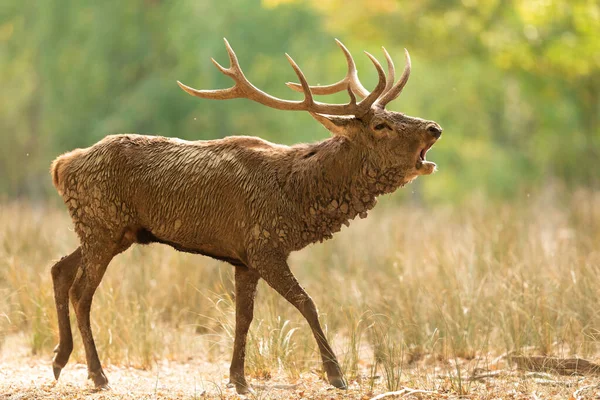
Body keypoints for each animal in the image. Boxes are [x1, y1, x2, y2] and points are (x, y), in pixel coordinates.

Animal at [50, 38, 440, 394]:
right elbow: (307, 303)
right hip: (101, 225)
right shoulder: (264, 246)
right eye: (380, 125)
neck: (297, 199)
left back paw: (59, 359)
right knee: (82, 292)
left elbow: (243, 317)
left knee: (59, 269)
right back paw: (98, 375)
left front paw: (238, 379)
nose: (434, 128)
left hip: (110, 231)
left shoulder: (244, 259)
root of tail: (61, 165)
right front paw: (336, 375)